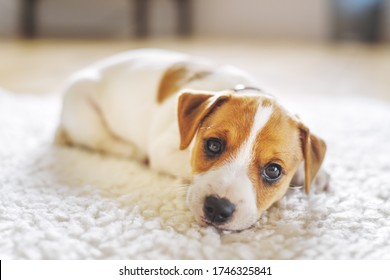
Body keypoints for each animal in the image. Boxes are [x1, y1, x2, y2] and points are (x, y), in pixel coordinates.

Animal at [55, 48, 330, 232]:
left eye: (273, 170)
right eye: (213, 145)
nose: (218, 208)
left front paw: (314, 176)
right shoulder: (164, 149)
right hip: (84, 113)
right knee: (102, 140)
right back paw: (131, 150)